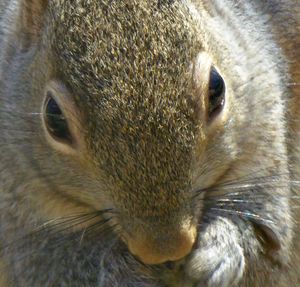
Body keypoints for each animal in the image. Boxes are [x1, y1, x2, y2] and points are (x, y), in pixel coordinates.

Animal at [0, 0, 298, 286]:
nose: (165, 248)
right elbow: (51, 267)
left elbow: (267, 242)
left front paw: (219, 253)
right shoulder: (24, 214)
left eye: (217, 88)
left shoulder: (262, 142)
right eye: (54, 118)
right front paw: (121, 274)